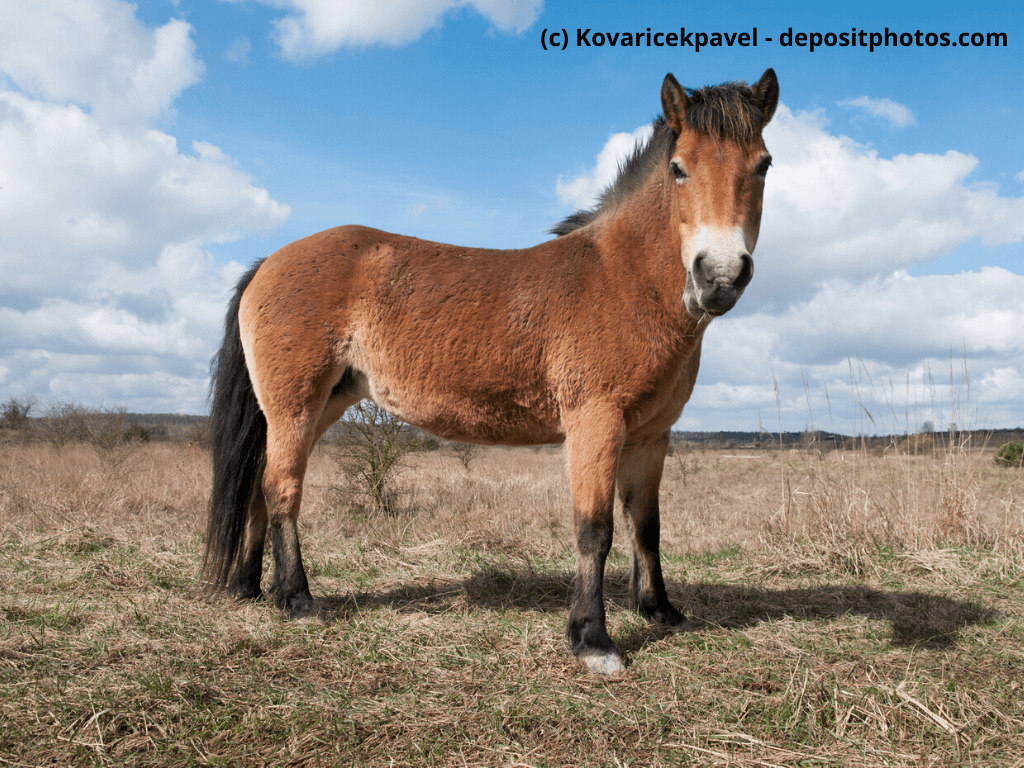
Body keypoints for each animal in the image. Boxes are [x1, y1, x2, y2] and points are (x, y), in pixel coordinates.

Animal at [204, 69, 778, 675]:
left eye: (762, 164)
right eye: (679, 168)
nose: (719, 276)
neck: (623, 278)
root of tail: (269, 263)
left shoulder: (651, 436)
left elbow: (645, 525)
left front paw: (659, 611)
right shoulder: (595, 424)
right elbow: (594, 529)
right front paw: (593, 641)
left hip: (318, 406)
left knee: (261, 488)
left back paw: (251, 588)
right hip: (295, 406)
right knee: (282, 490)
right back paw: (297, 601)